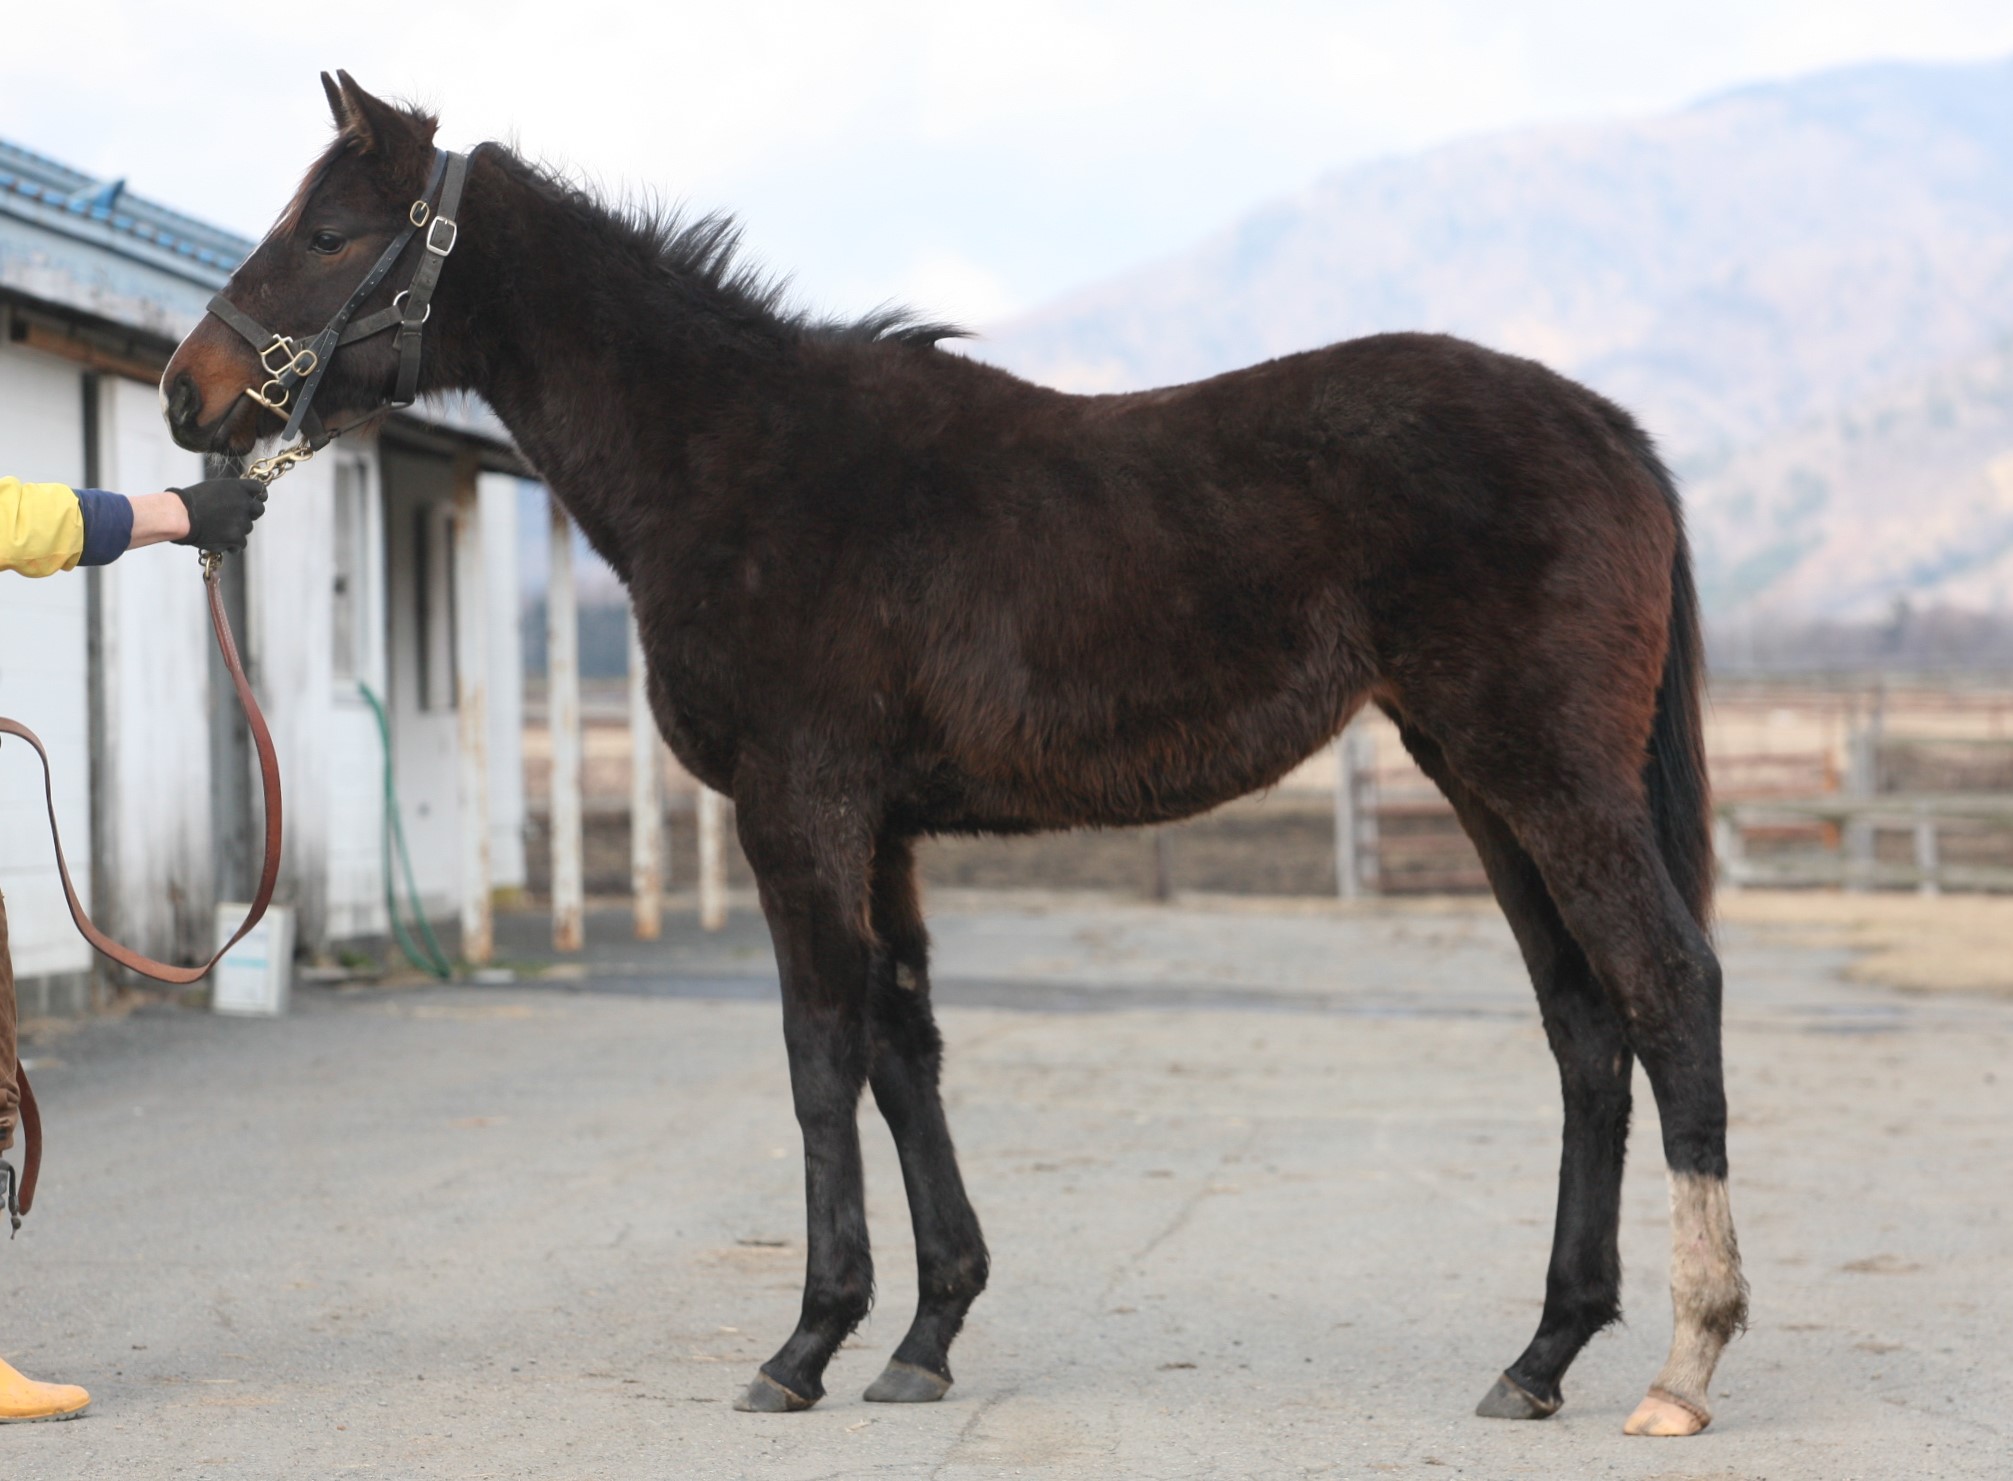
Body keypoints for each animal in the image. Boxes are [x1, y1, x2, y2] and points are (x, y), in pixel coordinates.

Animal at [163, 73, 1746, 1436]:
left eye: (326, 232)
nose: (189, 395)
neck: (738, 459)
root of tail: (1609, 429)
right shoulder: (880, 827)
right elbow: (902, 1042)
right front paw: (925, 1334)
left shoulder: (799, 807)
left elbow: (819, 1050)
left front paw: (804, 1342)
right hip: (1480, 781)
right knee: (1585, 1024)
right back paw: (1541, 1354)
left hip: (1546, 774)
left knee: (1667, 987)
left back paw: (1685, 1358)